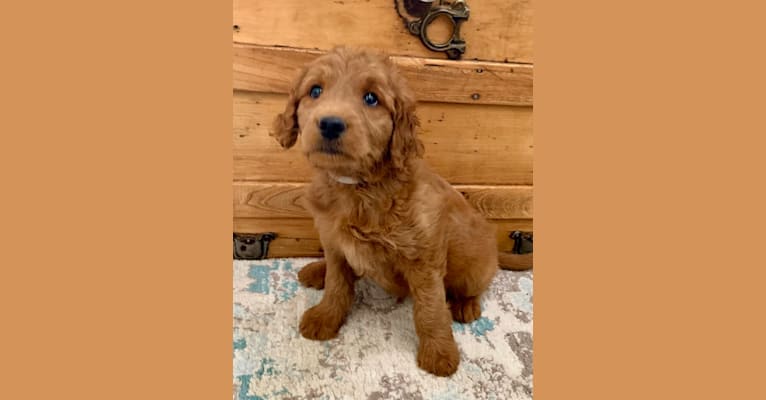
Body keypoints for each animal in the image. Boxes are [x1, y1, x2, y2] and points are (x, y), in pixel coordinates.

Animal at [270, 48, 528, 376]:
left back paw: (465, 304)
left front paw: (439, 352)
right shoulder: (334, 242)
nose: (330, 124)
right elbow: (337, 284)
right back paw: (317, 270)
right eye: (315, 91)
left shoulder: (424, 258)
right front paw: (325, 316)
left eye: (371, 98)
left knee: (475, 285)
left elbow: (430, 308)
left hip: (474, 266)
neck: (358, 187)